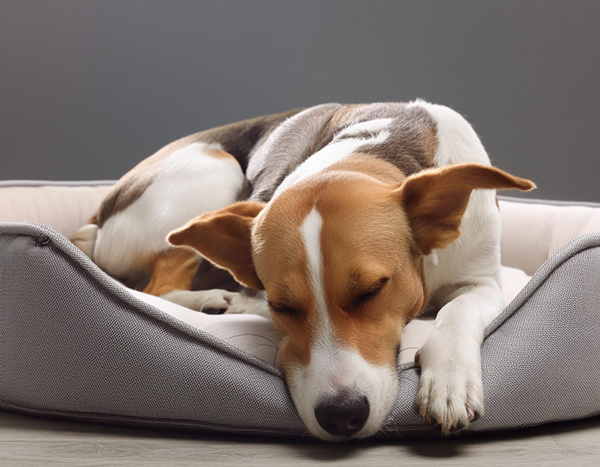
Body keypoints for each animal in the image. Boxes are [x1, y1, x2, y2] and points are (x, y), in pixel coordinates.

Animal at [70, 100, 536, 440]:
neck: (366, 152)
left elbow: (458, 310)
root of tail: (99, 214)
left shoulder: (480, 281)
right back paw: (214, 301)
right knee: (158, 286)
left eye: (373, 289)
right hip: (215, 170)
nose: (341, 415)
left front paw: (450, 382)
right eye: (284, 306)